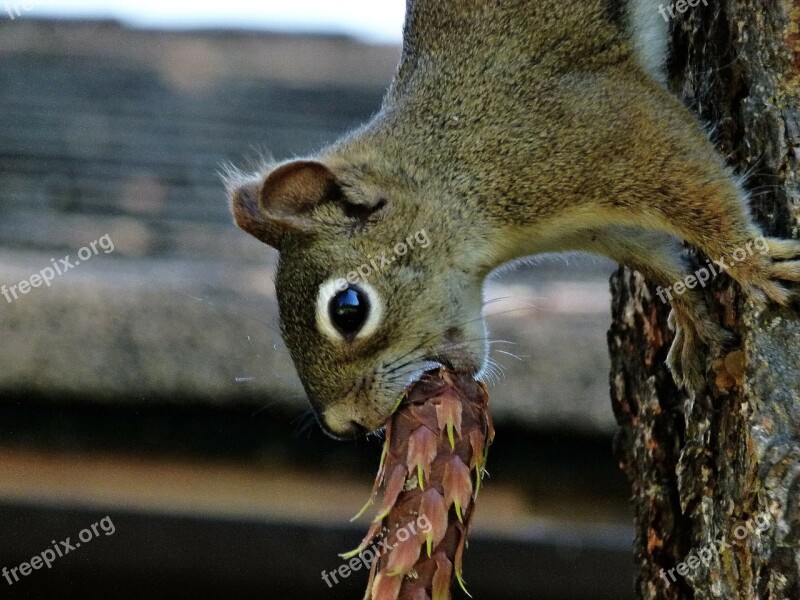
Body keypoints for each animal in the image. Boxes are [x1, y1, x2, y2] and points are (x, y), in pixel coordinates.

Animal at [225, 1, 800, 440]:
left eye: (348, 309)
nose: (344, 427)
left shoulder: (600, 131)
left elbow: (699, 187)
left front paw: (752, 263)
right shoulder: (598, 226)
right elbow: (658, 257)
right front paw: (690, 315)